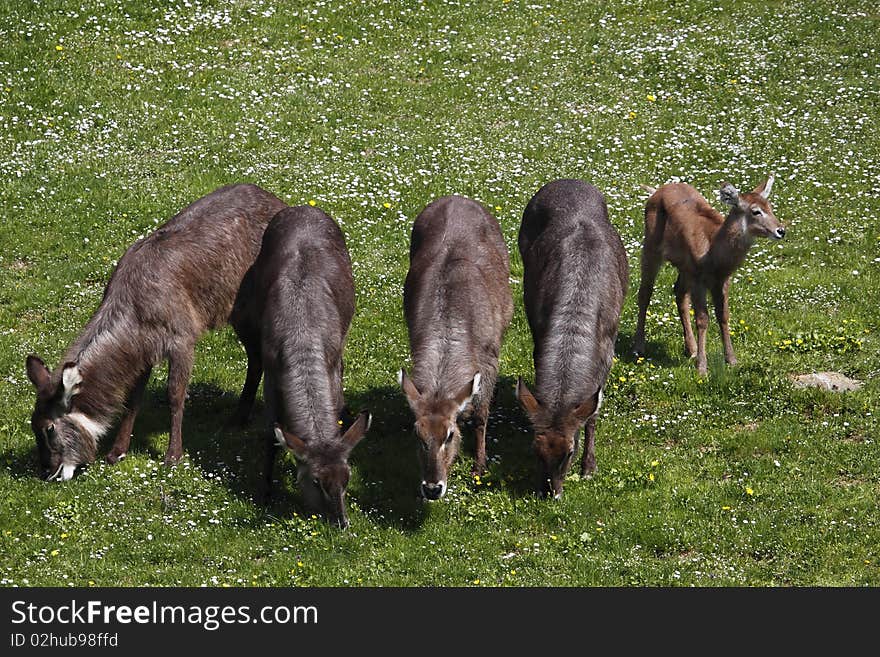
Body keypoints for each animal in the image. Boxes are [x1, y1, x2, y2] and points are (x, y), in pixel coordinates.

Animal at [24, 182, 286, 480]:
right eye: (32, 424)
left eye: (49, 427)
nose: (47, 471)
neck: (135, 307)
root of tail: (277, 201)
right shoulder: (144, 351)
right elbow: (132, 400)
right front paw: (117, 452)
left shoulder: (182, 338)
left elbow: (175, 394)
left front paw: (173, 456)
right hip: (238, 313)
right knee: (255, 358)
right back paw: (238, 418)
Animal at [249, 205, 370, 528]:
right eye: (315, 481)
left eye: (348, 478)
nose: (341, 522)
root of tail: (304, 207)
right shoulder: (271, 374)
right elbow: (271, 435)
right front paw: (265, 491)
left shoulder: (333, 364)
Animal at [398, 193, 512, 498]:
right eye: (417, 434)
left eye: (449, 435)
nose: (432, 487)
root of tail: (455, 197)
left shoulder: (490, 357)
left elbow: (482, 415)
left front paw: (479, 466)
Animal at [516, 178, 632, 498]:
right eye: (536, 450)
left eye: (569, 451)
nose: (550, 493)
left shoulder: (608, 350)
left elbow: (592, 413)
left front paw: (589, 467)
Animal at [632, 176, 784, 374]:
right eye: (756, 211)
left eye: (770, 207)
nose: (781, 230)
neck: (714, 256)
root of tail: (656, 191)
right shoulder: (698, 278)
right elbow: (703, 319)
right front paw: (702, 367)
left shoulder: (722, 279)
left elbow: (724, 315)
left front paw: (731, 360)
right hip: (651, 245)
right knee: (645, 293)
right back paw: (638, 347)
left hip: (684, 267)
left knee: (679, 293)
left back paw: (691, 348)